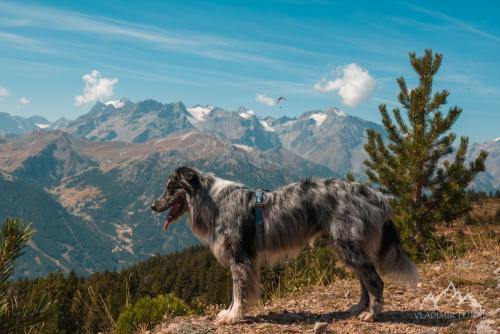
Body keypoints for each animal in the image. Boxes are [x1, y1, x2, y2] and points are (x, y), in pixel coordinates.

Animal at [150, 166, 416, 324]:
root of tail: (371, 193)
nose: (152, 206)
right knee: (364, 278)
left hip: (348, 245)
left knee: (375, 281)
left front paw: (233, 315)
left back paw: (372, 314)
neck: (213, 201)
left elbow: (238, 290)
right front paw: (232, 312)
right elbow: (237, 291)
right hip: (347, 246)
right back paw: (359, 307)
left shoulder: (240, 257)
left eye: (170, 188)